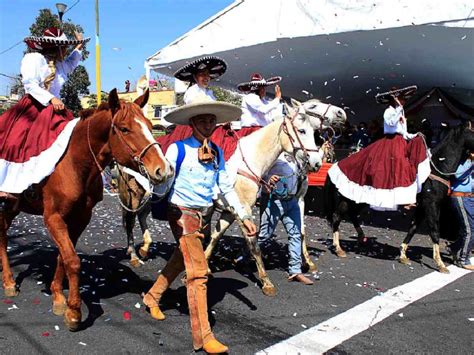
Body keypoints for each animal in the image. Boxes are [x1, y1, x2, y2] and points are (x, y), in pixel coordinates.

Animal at [0, 89, 172, 330]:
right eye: (125, 128)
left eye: (149, 124)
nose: (163, 170)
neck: (73, 164)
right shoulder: (53, 218)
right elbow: (72, 260)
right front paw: (73, 311)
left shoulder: (80, 219)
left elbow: (64, 256)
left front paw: (58, 296)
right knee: (3, 236)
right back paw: (8, 281)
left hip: (13, 207)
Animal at [203, 98, 344, 298]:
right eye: (302, 130)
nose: (341, 113)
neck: (249, 160)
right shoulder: (243, 209)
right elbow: (254, 244)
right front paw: (266, 283)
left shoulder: (234, 210)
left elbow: (299, 231)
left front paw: (307, 263)